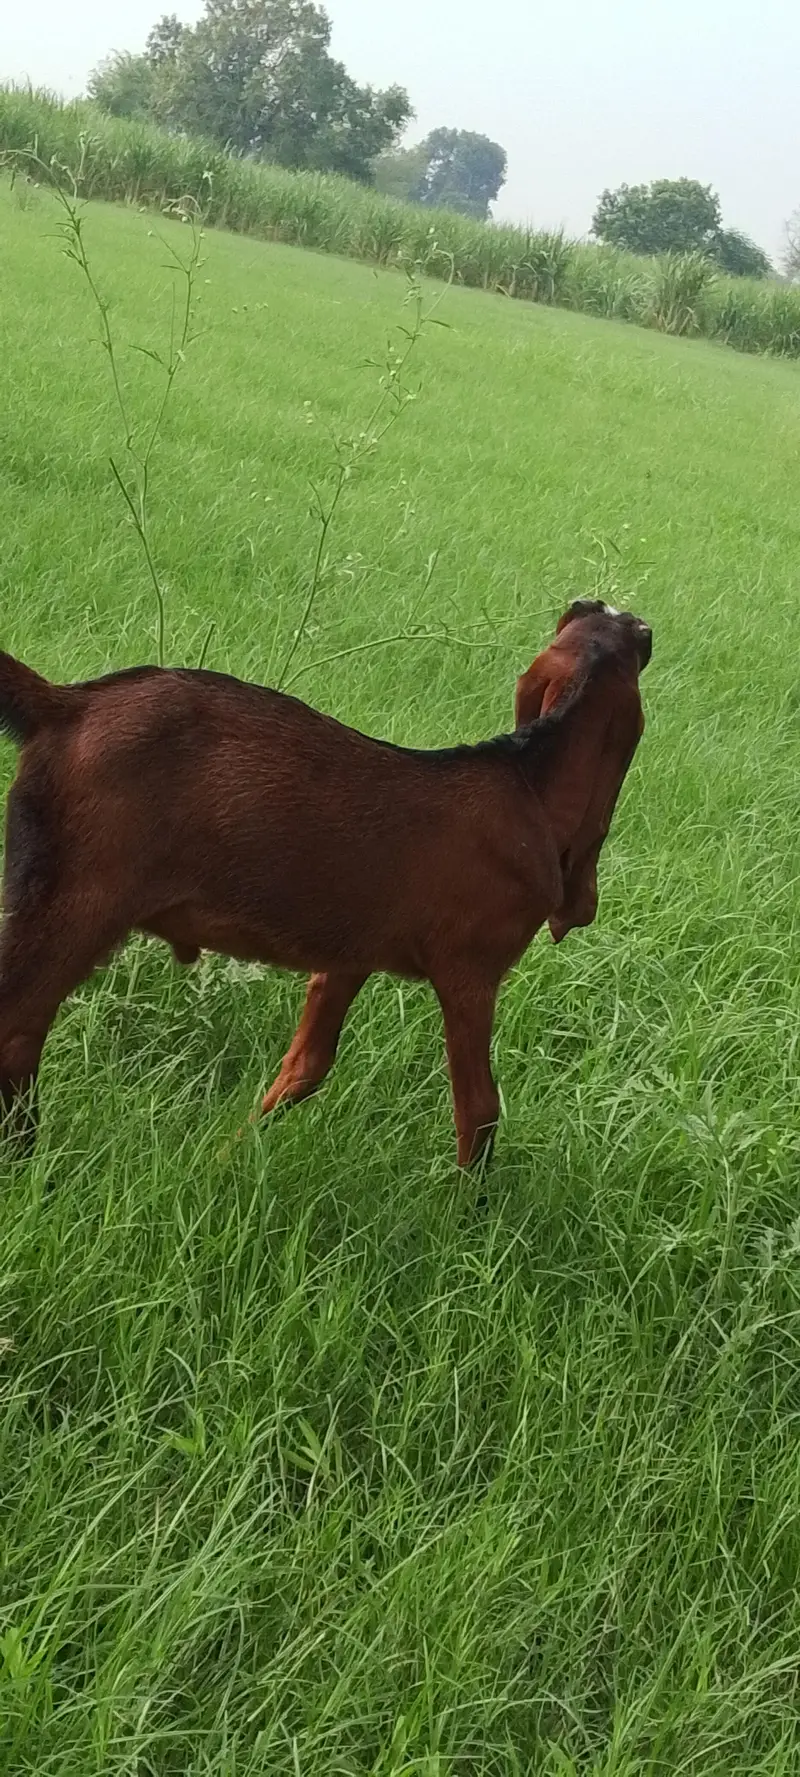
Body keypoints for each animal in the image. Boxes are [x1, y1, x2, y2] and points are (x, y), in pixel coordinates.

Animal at [0, 598, 651, 1165]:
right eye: (640, 637)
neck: (528, 782)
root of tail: (64, 704)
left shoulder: (348, 959)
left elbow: (303, 1068)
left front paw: (225, 1160)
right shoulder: (470, 973)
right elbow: (479, 1110)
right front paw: (471, 1218)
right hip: (80, 897)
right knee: (17, 1030)